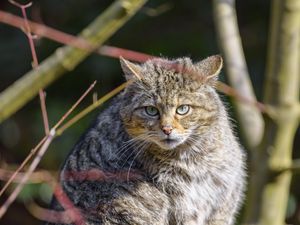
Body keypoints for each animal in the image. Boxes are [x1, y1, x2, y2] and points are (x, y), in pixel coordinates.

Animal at [46, 55, 244, 225]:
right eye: (151, 110)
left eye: (183, 109)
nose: (167, 129)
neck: (194, 158)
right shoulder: (184, 210)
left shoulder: (223, 206)